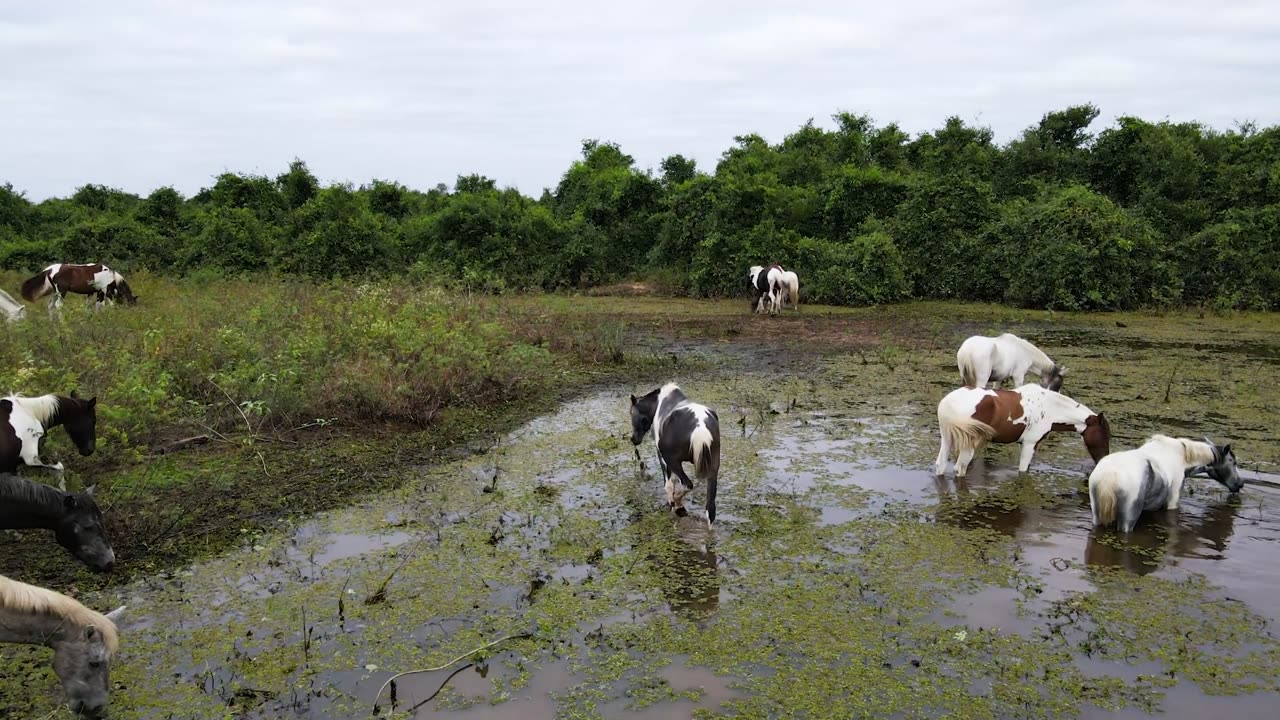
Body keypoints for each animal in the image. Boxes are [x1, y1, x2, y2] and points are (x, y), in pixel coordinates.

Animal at [629, 381, 721, 520]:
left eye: (631, 413)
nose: (633, 439)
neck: (659, 403)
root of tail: (701, 428)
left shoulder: (662, 457)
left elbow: (669, 484)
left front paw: (674, 505)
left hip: (673, 461)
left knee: (687, 484)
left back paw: (677, 505)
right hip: (712, 469)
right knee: (710, 510)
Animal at [931, 381, 1111, 476]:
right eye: (1105, 435)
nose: (1103, 459)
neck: (1050, 408)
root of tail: (948, 402)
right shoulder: (1030, 444)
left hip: (947, 439)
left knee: (941, 465)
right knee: (960, 468)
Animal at [1085, 430, 1244, 532]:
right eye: (1233, 462)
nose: (1240, 484)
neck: (1184, 457)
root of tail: (1109, 476)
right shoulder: (1172, 501)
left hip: (1097, 516)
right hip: (1127, 521)